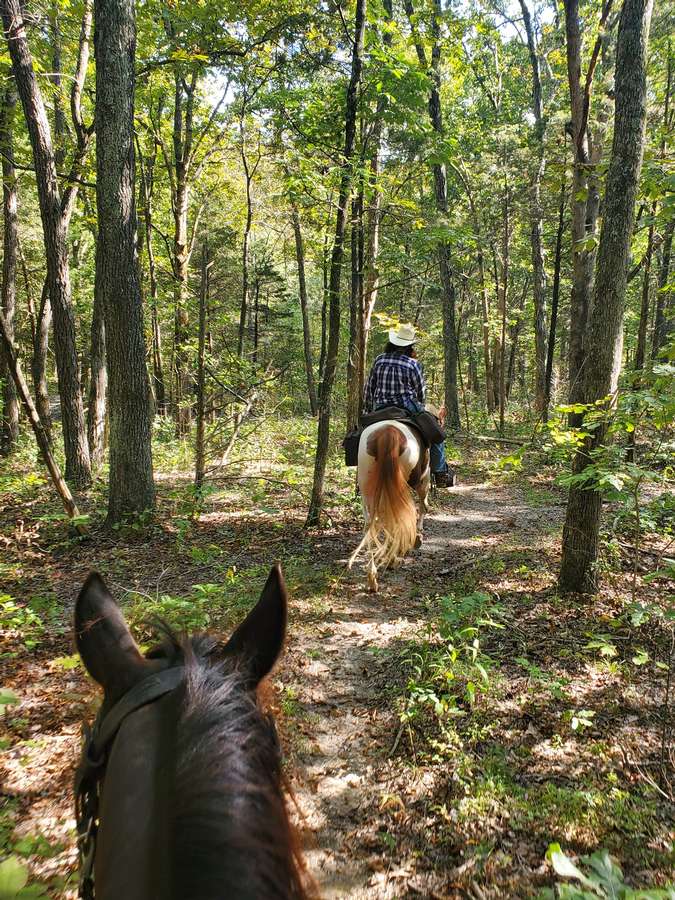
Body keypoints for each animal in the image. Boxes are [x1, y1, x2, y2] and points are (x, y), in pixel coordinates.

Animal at [348, 420, 434, 596]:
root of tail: (387, 433)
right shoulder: (424, 478)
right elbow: (423, 505)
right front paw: (418, 535)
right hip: (402, 484)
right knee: (398, 516)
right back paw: (393, 560)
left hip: (367, 488)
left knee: (370, 525)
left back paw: (372, 577)